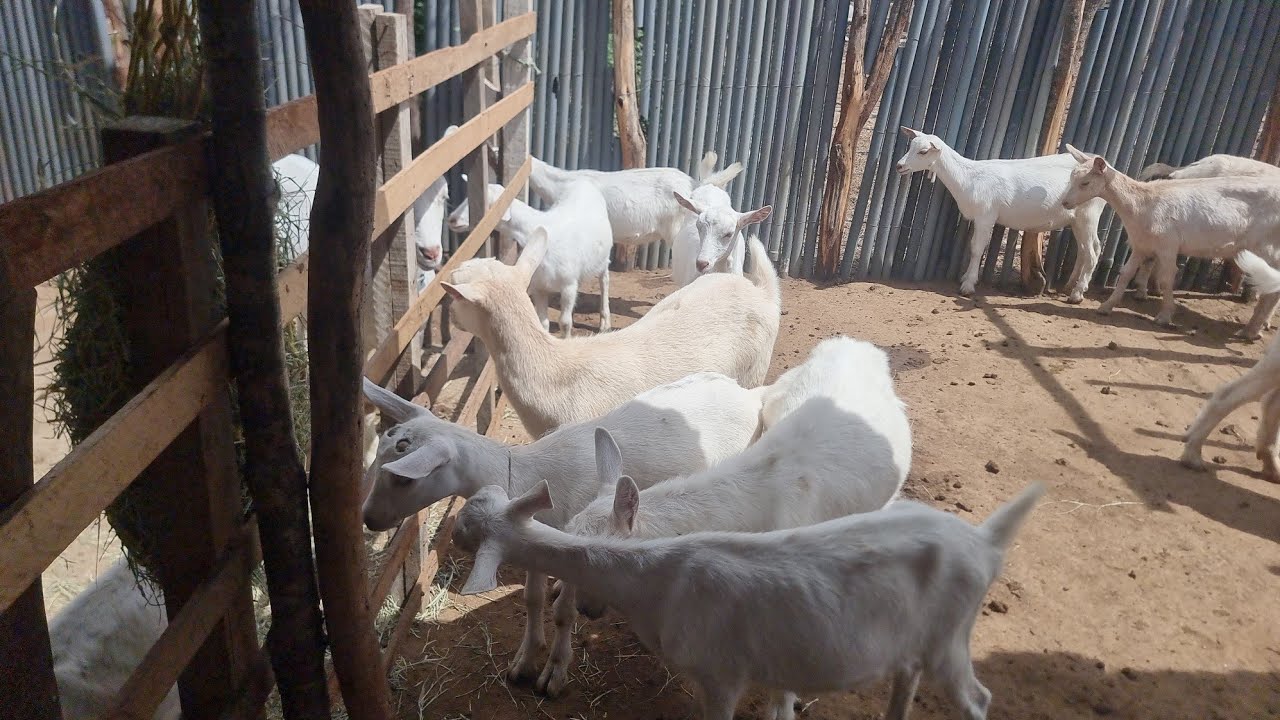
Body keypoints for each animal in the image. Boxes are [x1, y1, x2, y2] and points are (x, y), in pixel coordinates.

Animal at [455, 479, 1045, 720]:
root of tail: (986, 541)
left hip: (953, 637)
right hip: (915, 639)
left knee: (978, 700)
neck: (657, 578)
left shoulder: (722, 675)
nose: (451, 533)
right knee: (907, 676)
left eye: (470, 526)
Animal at [896, 127, 1106, 303]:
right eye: (911, 145)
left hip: (1088, 215)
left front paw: (968, 285)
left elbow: (976, 248)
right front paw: (966, 278)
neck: (969, 176)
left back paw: (1077, 294)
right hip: (1077, 220)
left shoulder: (986, 216)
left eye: (923, 151)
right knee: (1085, 250)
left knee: (1093, 253)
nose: (899, 166)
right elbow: (973, 246)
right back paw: (1070, 286)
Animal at [1063, 145, 1280, 333]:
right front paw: (1106, 307)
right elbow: (1125, 273)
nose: (1065, 203)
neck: (1142, 203)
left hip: (1267, 247)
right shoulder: (1141, 244)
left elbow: (1167, 279)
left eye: (1085, 183)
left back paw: (1253, 329)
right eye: (1071, 177)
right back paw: (1254, 328)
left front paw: (1165, 316)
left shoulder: (1167, 246)